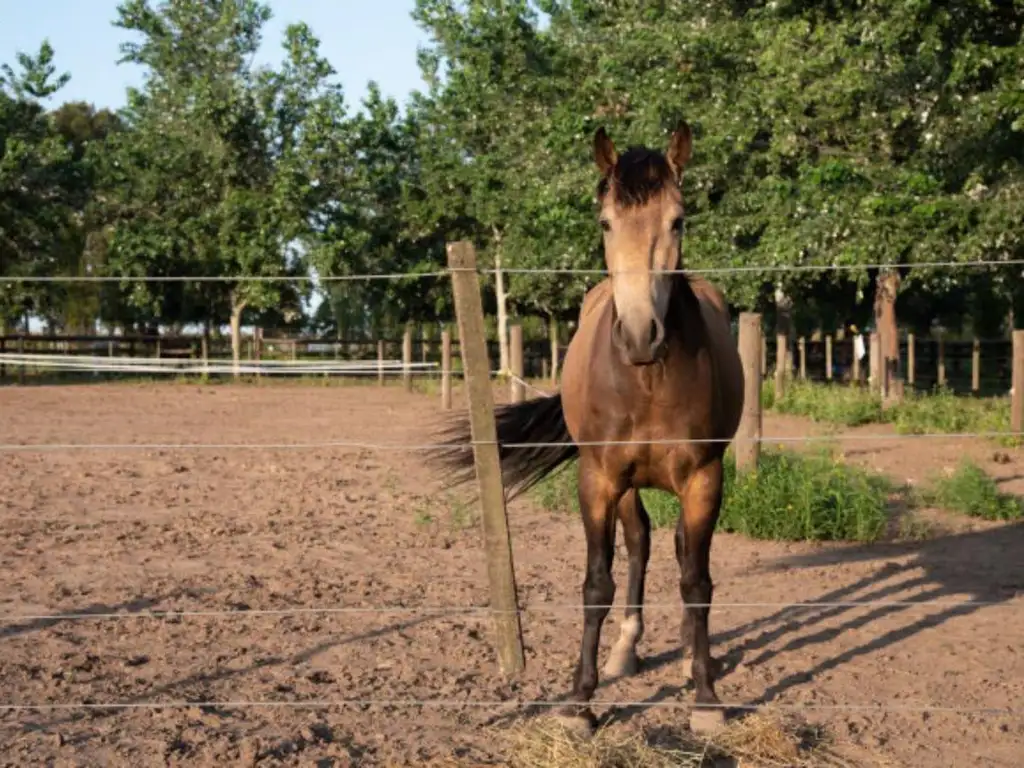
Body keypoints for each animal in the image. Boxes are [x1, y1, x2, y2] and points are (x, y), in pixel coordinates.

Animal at [434, 123, 745, 737]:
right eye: (605, 223)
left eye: (678, 220)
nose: (641, 334)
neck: (647, 381)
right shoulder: (598, 479)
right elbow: (597, 583)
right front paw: (580, 702)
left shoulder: (705, 478)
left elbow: (697, 583)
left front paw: (705, 697)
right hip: (623, 485)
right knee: (640, 540)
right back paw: (626, 649)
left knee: (677, 549)